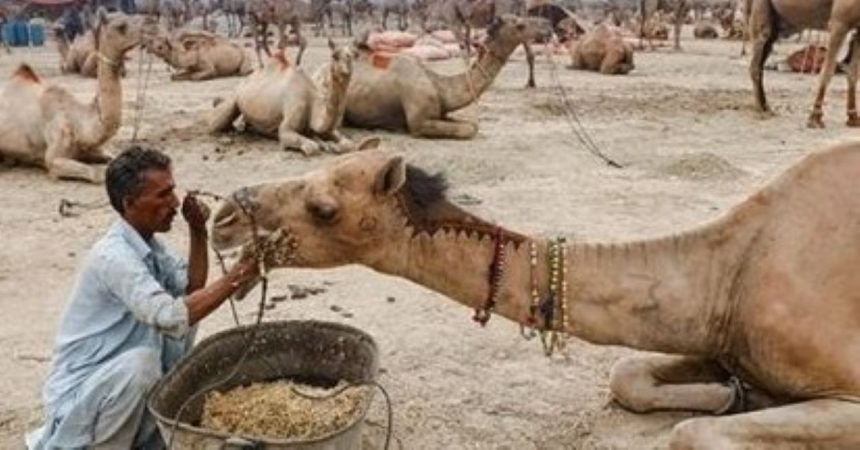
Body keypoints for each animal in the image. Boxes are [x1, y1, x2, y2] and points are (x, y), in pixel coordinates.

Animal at [0, 11, 146, 183]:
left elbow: (114, 156)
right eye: (121, 26)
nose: (148, 30)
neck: (80, 124)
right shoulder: (53, 158)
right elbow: (95, 173)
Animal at [208, 40, 377, 156]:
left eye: (354, 55)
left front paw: (330, 144)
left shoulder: (328, 129)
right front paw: (321, 144)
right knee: (217, 123)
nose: (346, 71)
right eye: (334, 56)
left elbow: (348, 144)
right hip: (235, 98)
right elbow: (311, 147)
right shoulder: (286, 127)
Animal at [211, 142, 860, 449]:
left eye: (324, 207)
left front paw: (734, 403)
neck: (731, 273)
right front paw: (729, 395)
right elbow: (626, 373)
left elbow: (688, 434)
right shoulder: (717, 337)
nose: (223, 216)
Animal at [342, 15, 550, 139]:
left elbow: (470, 124)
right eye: (520, 25)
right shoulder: (419, 123)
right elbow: (470, 129)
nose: (546, 27)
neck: (438, 85)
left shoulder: (442, 113)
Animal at [748, 0, 860, 128]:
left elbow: (853, 74)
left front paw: (853, 117)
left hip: (775, 23)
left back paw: (766, 107)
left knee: (762, 58)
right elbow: (827, 71)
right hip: (759, 7)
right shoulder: (839, 22)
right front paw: (815, 117)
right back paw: (760, 111)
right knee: (758, 53)